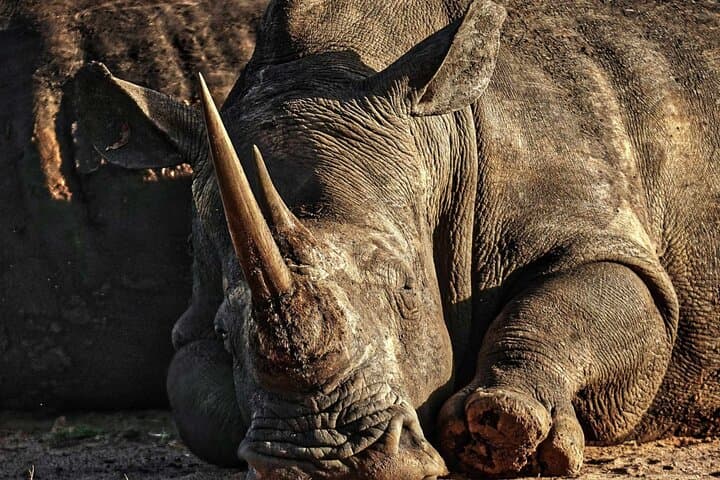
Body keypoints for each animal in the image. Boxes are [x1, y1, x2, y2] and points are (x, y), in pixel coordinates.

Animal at [81, 0, 720, 477]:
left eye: (407, 290)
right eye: (223, 332)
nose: (325, 461)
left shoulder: (587, 214)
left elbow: (594, 292)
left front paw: (499, 428)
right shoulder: (194, 314)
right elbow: (195, 400)